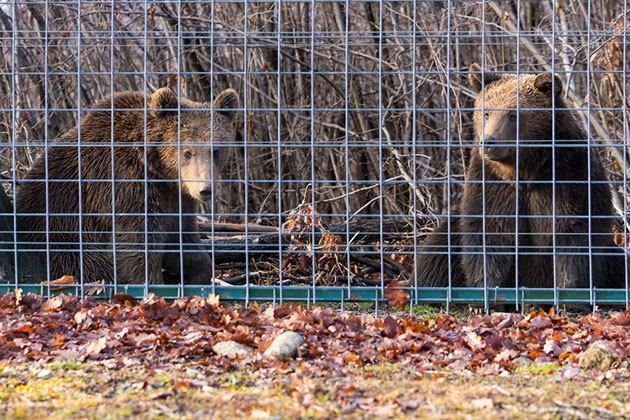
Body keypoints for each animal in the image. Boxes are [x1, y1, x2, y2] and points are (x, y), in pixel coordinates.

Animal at [17, 86, 241, 284]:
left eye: (215, 150)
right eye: (187, 152)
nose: (206, 189)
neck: (156, 167)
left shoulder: (177, 196)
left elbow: (182, 238)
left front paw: (196, 273)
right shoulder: (124, 184)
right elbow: (137, 243)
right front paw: (152, 283)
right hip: (59, 238)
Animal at [418, 65, 628, 288]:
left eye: (513, 114)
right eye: (486, 112)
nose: (489, 142)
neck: (526, 172)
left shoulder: (569, 177)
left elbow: (574, 237)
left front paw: (569, 288)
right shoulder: (492, 185)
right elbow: (487, 237)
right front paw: (486, 287)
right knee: (436, 254)